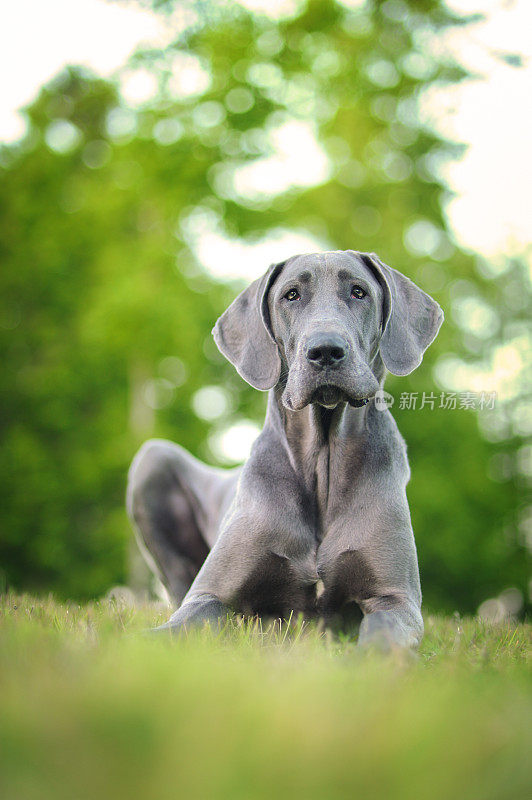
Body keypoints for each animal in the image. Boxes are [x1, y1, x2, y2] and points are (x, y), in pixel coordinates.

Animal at [127, 253, 442, 648]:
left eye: (359, 292)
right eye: (291, 295)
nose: (325, 351)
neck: (322, 463)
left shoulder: (395, 599)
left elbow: (383, 632)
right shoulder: (210, 594)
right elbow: (181, 623)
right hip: (153, 458)